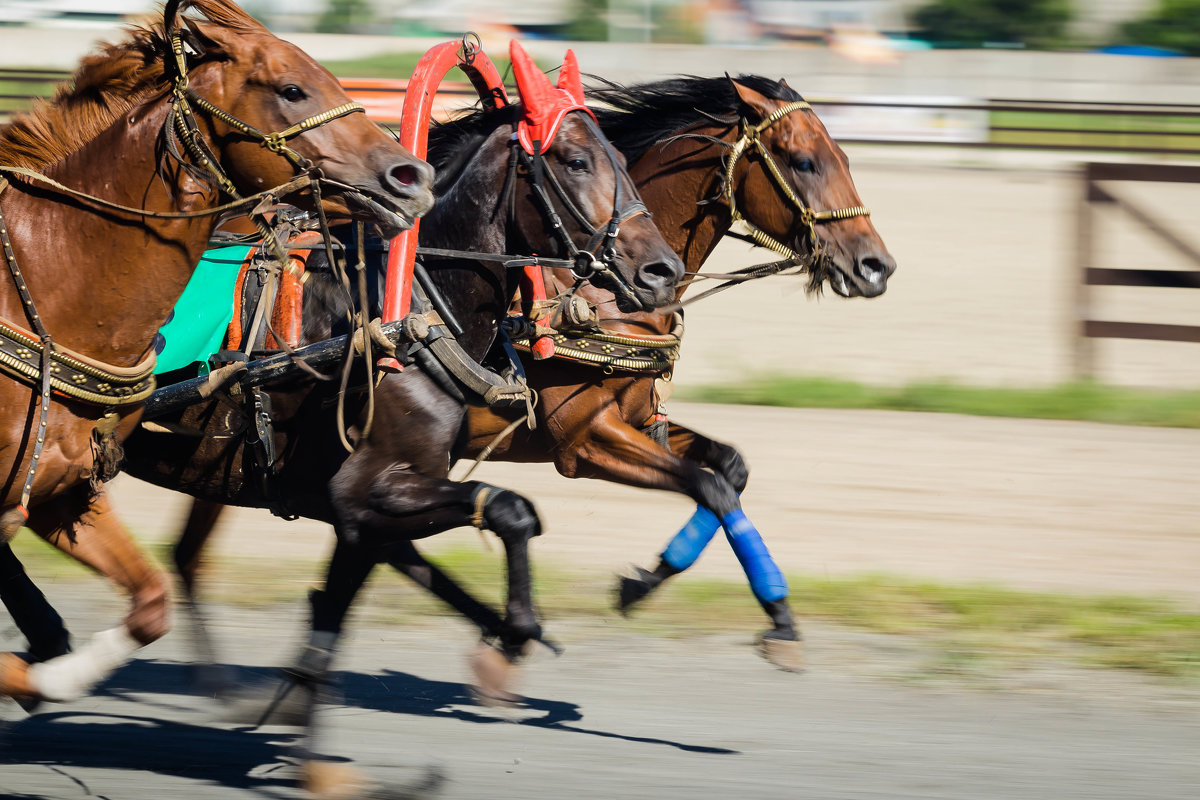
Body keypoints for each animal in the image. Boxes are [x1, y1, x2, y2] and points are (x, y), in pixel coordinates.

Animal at [0, 0, 432, 714]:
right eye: (292, 89)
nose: (413, 176)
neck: (44, 283)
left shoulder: (63, 488)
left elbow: (150, 606)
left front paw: (47, 674)